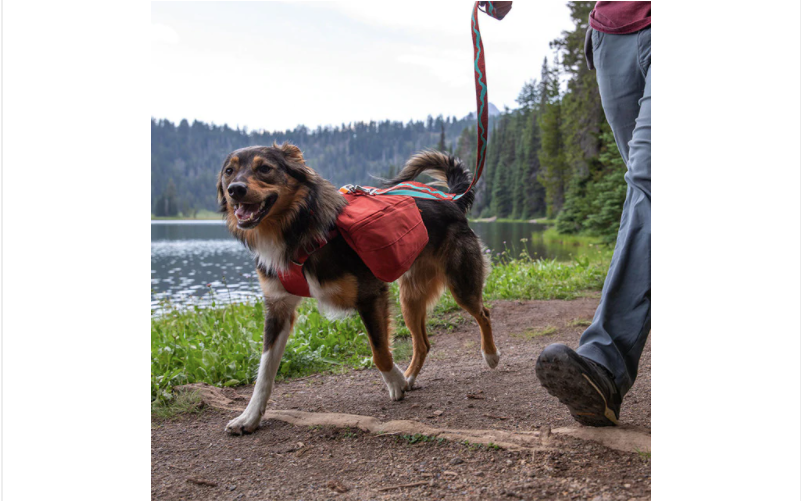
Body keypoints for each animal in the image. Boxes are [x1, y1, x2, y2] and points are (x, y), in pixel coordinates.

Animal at [216, 142, 496, 434]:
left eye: (264, 168)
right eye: (229, 171)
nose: (235, 189)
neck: (295, 230)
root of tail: (450, 201)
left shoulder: (370, 296)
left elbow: (380, 351)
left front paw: (395, 382)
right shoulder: (278, 308)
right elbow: (265, 371)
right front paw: (249, 417)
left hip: (461, 285)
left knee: (483, 314)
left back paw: (490, 355)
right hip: (410, 297)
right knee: (424, 344)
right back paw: (410, 376)